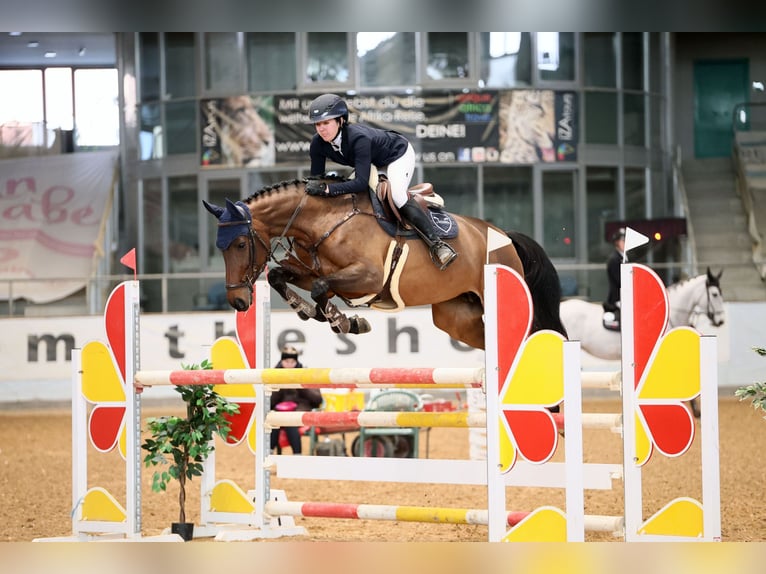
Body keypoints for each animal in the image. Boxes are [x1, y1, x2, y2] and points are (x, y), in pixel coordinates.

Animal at [204, 176, 568, 352]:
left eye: (240, 244)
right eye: (219, 249)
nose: (238, 301)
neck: (324, 220)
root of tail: (501, 235)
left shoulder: (368, 278)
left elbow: (322, 289)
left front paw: (343, 321)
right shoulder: (312, 270)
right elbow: (283, 277)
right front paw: (320, 314)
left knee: (529, 333)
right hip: (457, 317)